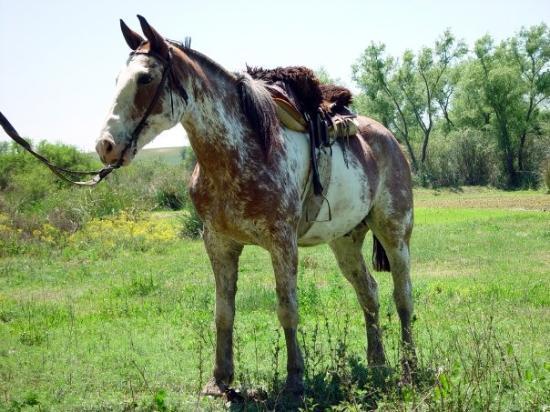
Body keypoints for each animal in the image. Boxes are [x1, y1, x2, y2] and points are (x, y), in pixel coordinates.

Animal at [96, 16, 418, 400]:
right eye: (117, 79)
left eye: (145, 78)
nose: (105, 146)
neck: (240, 152)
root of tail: (389, 138)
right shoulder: (219, 244)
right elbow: (223, 312)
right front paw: (219, 380)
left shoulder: (282, 243)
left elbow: (287, 309)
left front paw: (295, 380)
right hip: (345, 240)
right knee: (368, 292)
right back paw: (377, 363)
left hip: (394, 233)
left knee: (402, 295)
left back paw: (409, 367)